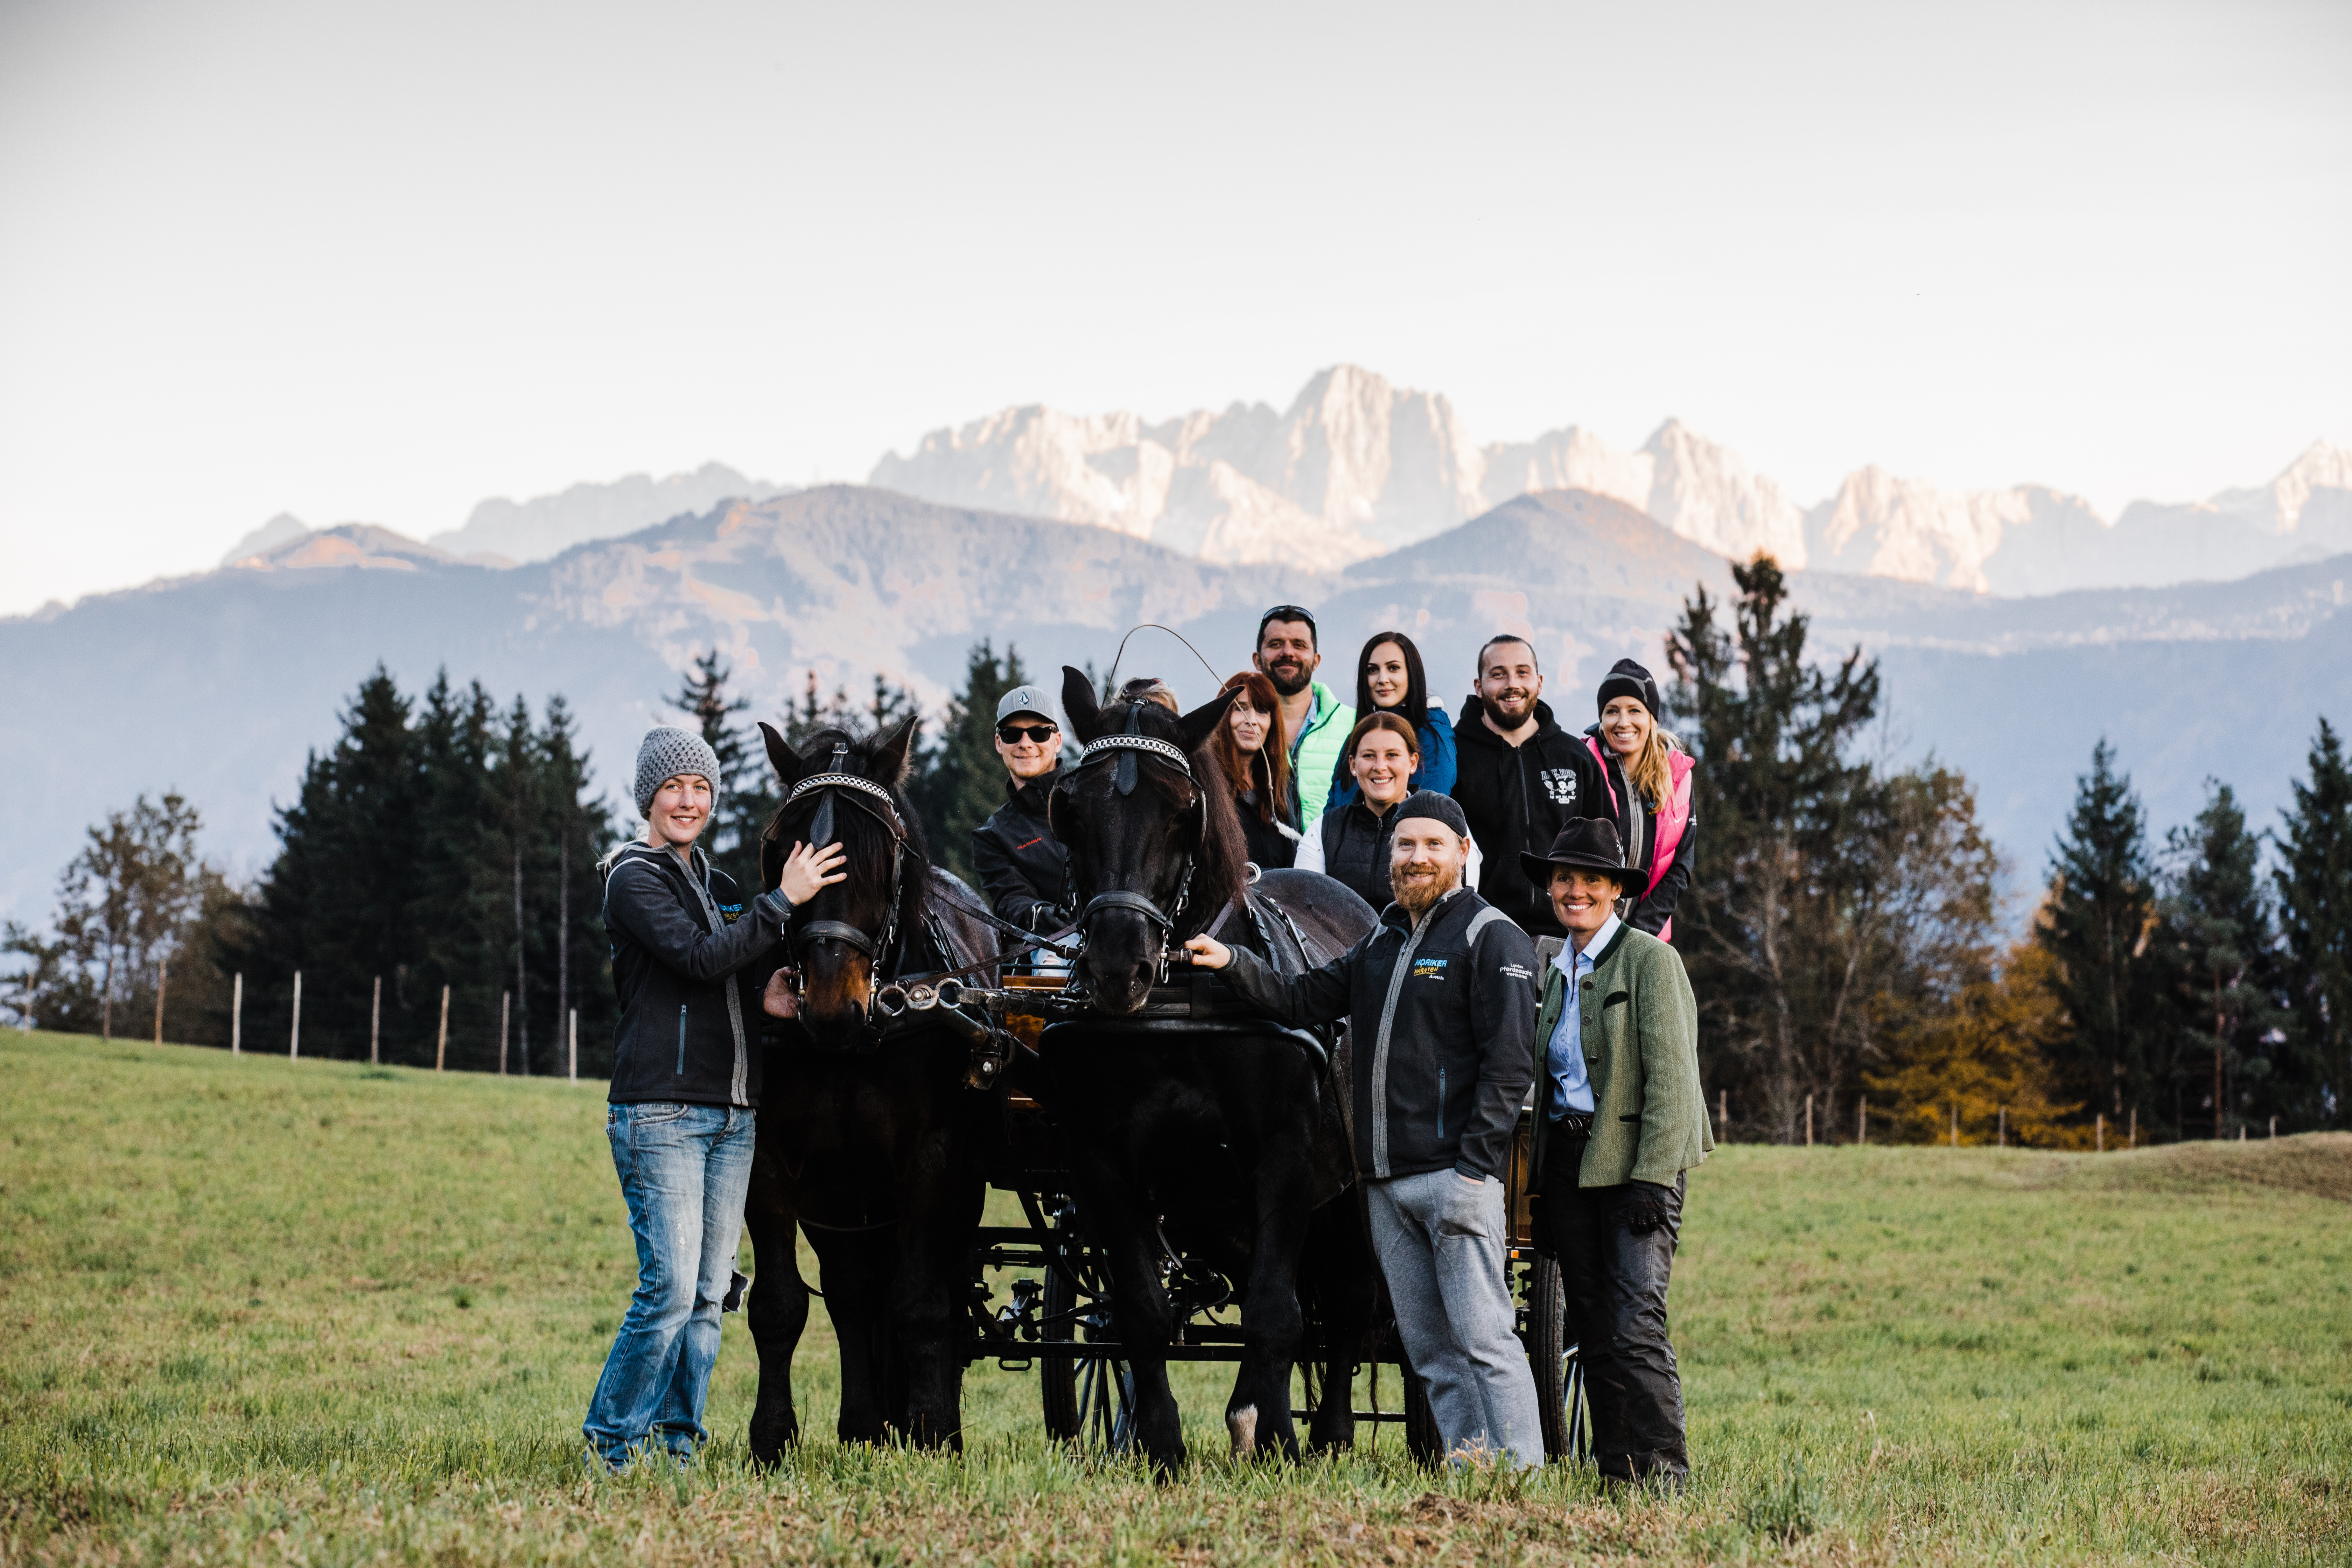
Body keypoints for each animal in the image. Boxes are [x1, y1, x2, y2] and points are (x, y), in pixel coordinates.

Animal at [743, 719, 1011, 1457]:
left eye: (881, 855)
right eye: (780, 848)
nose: (831, 1004)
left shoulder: (933, 1160)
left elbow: (921, 1300)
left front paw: (931, 1429)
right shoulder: (771, 1162)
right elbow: (781, 1304)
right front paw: (773, 1437)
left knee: (938, 1285)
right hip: (841, 1194)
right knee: (852, 1292)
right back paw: (864, 1424)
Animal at [1044, 667, 1383, 1476]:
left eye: (1182, 809)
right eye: (1069, 808)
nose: (1119, 964)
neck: (1180, 1004)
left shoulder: (1285, 1156)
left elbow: (1275, 1311)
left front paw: (1269, 1435)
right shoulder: (1102, 1162)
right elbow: (1139, 1308)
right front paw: (1161, 1444)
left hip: (1351, 1192)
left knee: (1346, 1302)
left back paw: (1325, 1433)